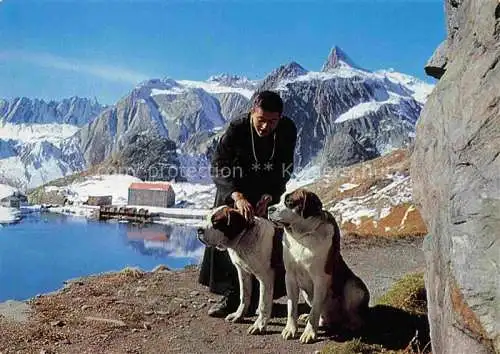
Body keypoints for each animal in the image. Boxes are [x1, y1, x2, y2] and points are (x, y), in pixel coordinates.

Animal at [197, 205, 278, 334]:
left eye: (215, 222)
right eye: (207, 218)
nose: (199, 230)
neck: (245, 237)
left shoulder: (266, 277)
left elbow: (263, 303)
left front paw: (259, 325)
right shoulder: (243, 272)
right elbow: (244, 295)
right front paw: (238, 315)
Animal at [268, 189, 370, 344]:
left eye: (289, 202)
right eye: (279, 200)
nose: (269, 209)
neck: (303, 237)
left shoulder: (321, 279)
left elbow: (315, 309)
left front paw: (309, 333)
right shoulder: (290, 277)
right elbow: (292, 307)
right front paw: (290, 329)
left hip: (354, 287)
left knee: (356, 317)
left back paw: (350, 325)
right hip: (307, 293)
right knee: (323, 316)